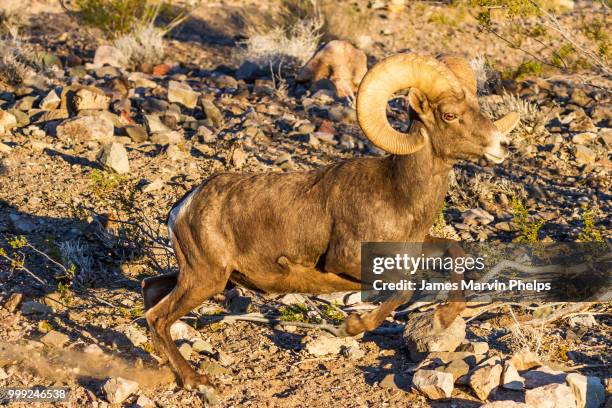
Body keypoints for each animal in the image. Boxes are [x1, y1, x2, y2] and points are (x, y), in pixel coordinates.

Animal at [145, 53, 520, 388]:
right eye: (450, 114)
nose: (502, 146)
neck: (397, 194)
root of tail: (183, 207)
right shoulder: (349, 260)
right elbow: (403, 289)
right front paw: (350, 327)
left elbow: (455, 254)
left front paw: (442, 318)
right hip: (206, 279)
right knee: (158, 317)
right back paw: (198, 382)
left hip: (207, 278)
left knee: (150, 291)